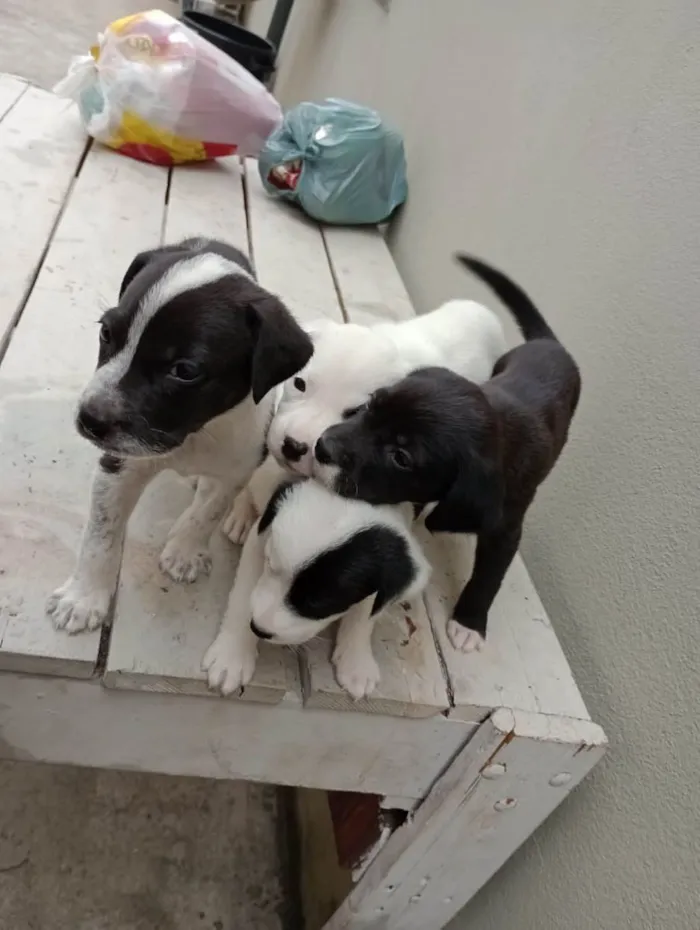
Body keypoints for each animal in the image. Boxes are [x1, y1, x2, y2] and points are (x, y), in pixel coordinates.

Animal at [45, 236, 312, 636]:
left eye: (184, 371)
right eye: (106, 333)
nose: (89, 419)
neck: (194, 435)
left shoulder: (235, 469)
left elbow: (208, 512)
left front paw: (185, 550)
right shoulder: (119, 466)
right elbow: (101, 535)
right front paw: (83, 597)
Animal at [202, 454, 432, 700]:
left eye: (317, 603)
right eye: (270, 564)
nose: (257, 628)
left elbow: (365, 613)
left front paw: (356, 663)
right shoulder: (260, 539)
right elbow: (243, 595)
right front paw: (231, 655)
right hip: (269, 474)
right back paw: (241, 514)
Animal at [314, 254, 584, 652]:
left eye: (401, 457)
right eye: (373, 403)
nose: (321, 447)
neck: (499, 424)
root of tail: (549, 343)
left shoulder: (506, 528)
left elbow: (489, 576)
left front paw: (470, 623)